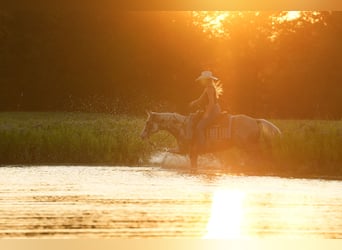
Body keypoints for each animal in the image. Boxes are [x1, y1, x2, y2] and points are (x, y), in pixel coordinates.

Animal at [140, 111, 282, 168]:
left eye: (147, 122)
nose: (142, 136)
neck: (183, 126)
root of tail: (255, 120)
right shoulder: (186, 152)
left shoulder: (187, 151)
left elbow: (166, 153)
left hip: (249, 147)